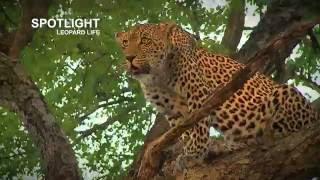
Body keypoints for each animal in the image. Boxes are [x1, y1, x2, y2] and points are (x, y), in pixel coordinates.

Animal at [115, 21, 320, 171]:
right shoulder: (172, 109)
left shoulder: (197, 93)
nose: (129, 58)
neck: (158, 75)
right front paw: (189, 152)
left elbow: (197, 127)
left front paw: (194, 154)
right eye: (125, 44)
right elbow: (184, 131)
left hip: (284, 93)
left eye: (145, 40)